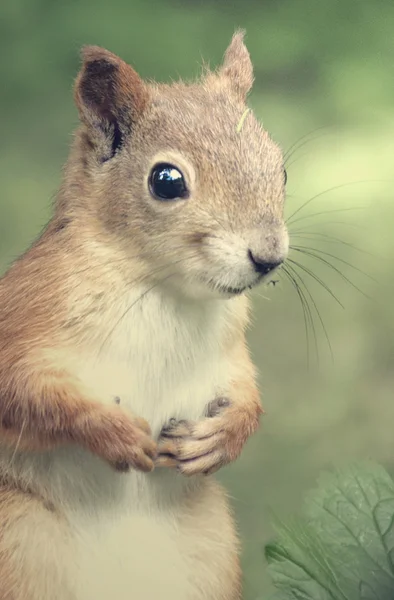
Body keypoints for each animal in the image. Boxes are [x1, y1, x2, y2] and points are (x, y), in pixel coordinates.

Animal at [0, 30, 288, 600]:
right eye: (166, 180)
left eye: (280, 166)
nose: (269, 257)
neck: (159, 288)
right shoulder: (25, 312)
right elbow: (22, 392)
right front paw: (112, 431)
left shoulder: (229, 350)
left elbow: (247, 394)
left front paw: (224, 436)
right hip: (18, 536)